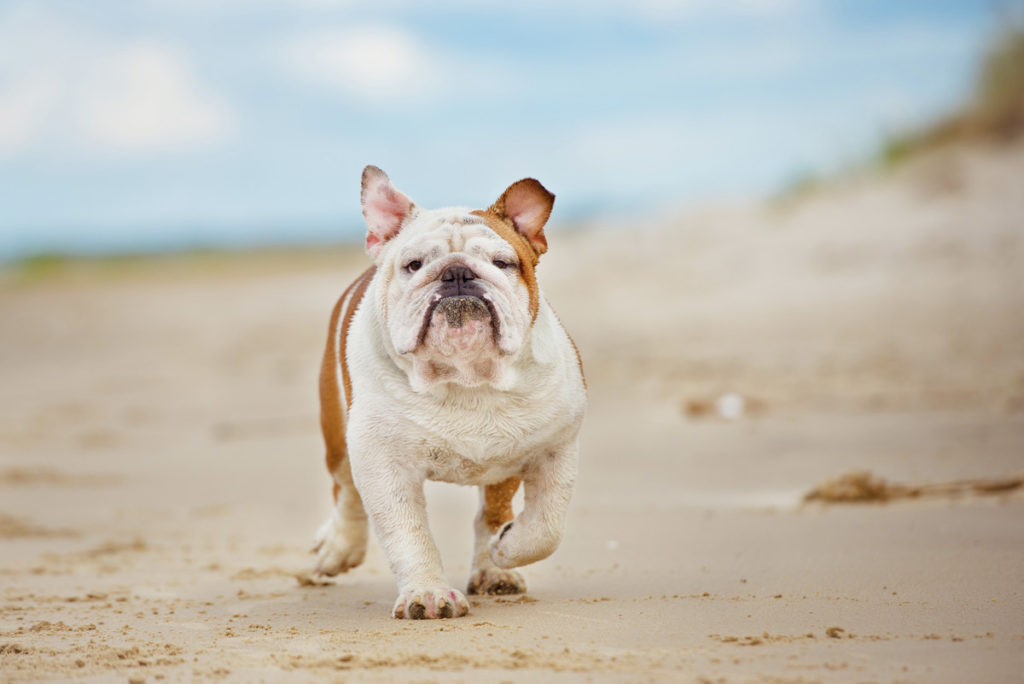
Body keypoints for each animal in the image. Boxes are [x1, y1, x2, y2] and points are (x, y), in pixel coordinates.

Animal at [309, 166, 585, 618]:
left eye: (502, 263)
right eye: (414, 265)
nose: (457, 273)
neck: (467, 375)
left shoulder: (555, 450)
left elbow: (547, 525)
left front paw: (508, 549)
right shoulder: (382, 464)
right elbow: (409, 533)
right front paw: (426, 594)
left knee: (491, 513)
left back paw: (494, 570)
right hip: (338, 431)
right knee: (345, 489)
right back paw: (338, 548)